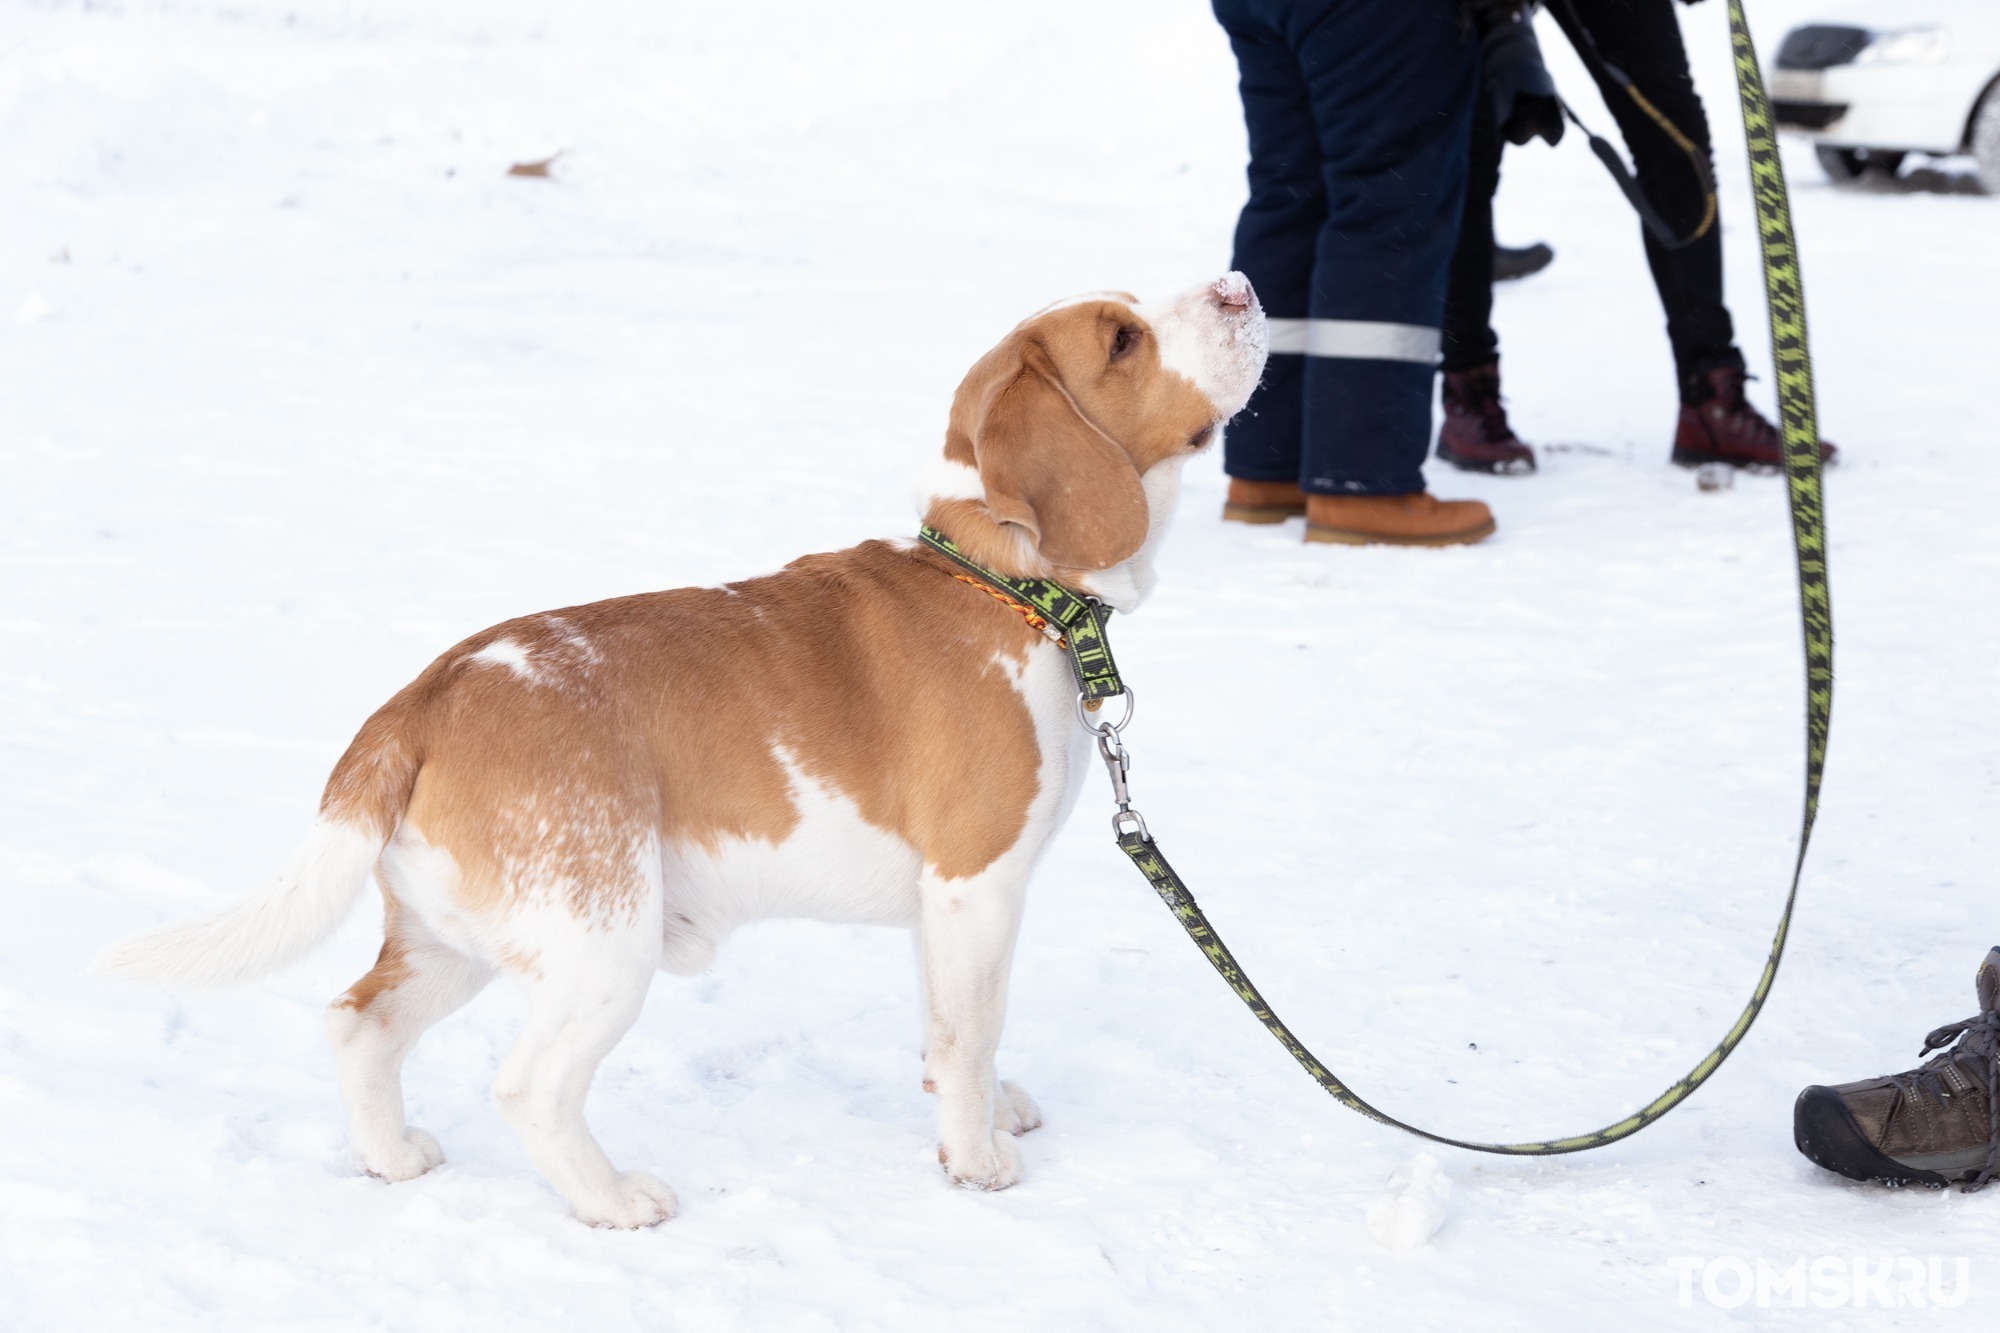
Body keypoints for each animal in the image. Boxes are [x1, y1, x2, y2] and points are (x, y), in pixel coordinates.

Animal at [97, 272, 1264, 1224]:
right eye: (1121, 340)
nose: (1239, 286)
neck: (1006, 584)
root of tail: (421, 700)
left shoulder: (945, 912)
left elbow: (947, 1030)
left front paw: (973, 1113)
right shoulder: (976, 887)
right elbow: (969, 1035)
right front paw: (973, 1160)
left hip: (451, 942)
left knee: (357, 1025)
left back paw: (390, 1158)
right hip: (604, 947)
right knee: (527, 1087)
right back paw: (612, 1200)